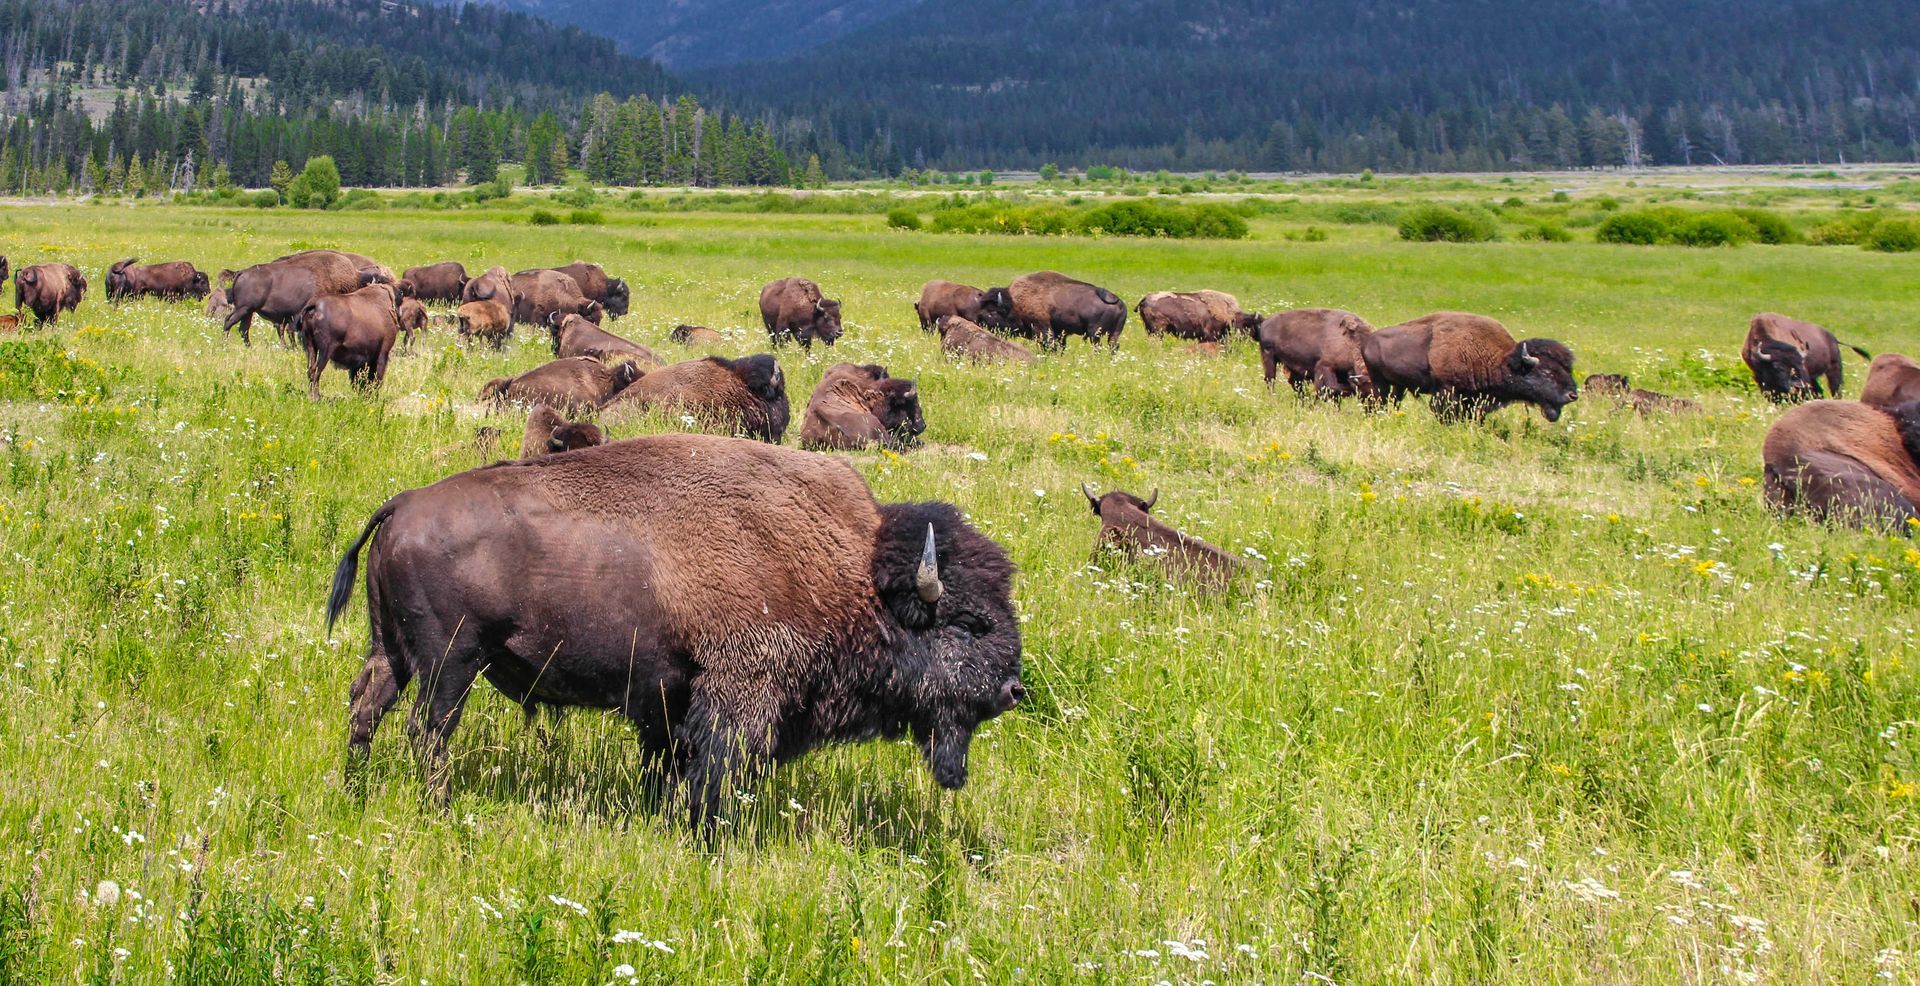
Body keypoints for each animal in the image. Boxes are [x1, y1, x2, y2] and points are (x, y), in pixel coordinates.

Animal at [328, 433, 1023, 826]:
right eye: (968, 623)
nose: (1014, 690)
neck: (849, 571)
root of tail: (403, 505)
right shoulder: (738, 692)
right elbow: (715, 768)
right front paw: (705, 833)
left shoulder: (665, 702)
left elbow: (666, 765)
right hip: (451, 663)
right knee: (427, 731)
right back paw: (442, 812)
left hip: (392, 652)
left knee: (366, 707)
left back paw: (356, 789)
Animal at [1362, 312, 1578, 422]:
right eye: (1547, 372)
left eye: (1568, 369)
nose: (1572, 395)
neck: (1502, 360)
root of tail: (1369, 340)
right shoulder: (1446, 392)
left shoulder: (1475, 400)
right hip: (1379, 382)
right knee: (1377, 401)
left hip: (1398, 386)